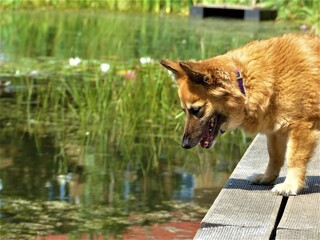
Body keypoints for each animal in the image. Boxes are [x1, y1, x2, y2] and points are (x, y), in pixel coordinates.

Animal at [161, 33, 318, 195]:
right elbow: (274, 156)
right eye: (184, 111)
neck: (245, 83)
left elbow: (294, 158)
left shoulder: (301, 127)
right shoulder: (276, 131)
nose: (184, 145)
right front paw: (267, 177)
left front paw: (290, 184)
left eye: (196, 110)